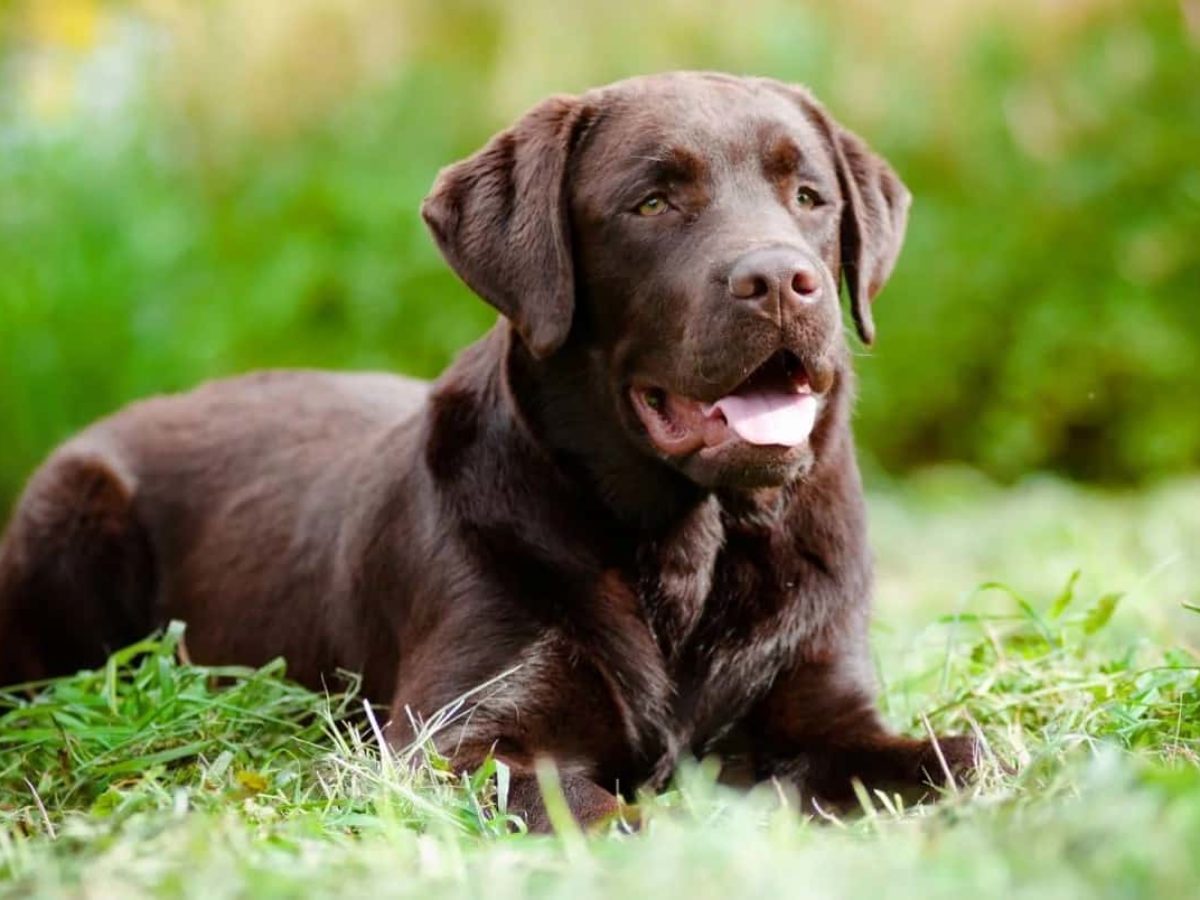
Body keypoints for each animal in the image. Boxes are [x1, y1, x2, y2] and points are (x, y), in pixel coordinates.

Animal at [0, 72, 974, 830]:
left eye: (809, 197)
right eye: (652, 202)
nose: (781, 280)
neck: (690, 549)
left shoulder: (832, 703)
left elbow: (968, 754)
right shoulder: (452, 743)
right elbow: (611, 813)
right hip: (68, 511)